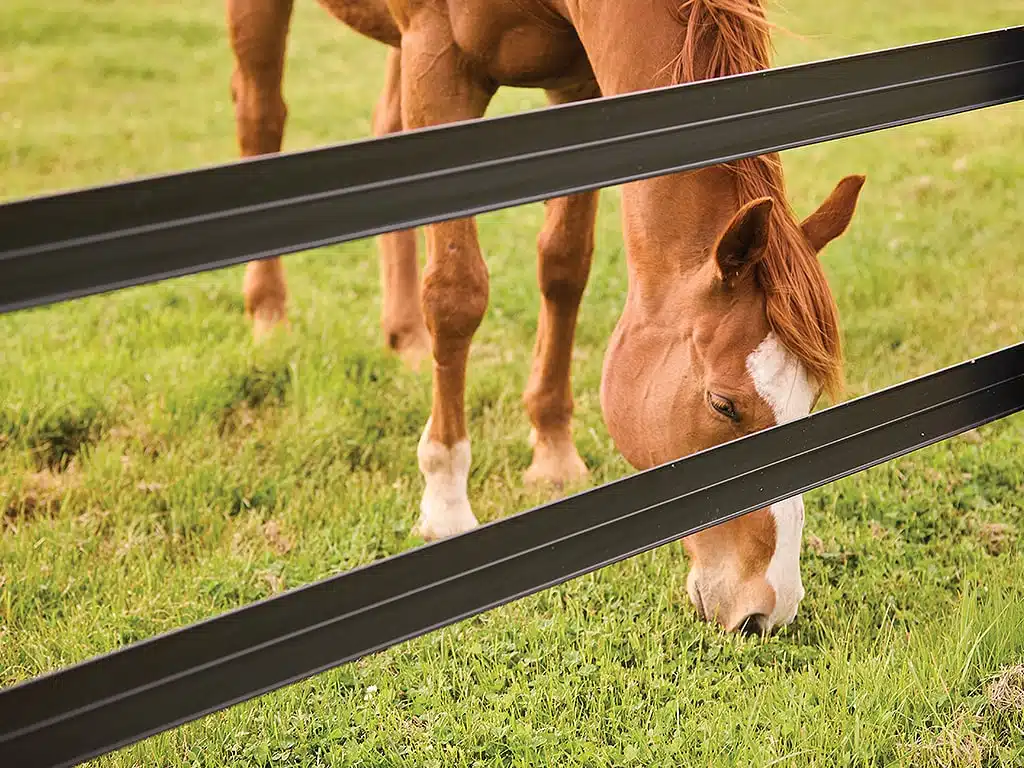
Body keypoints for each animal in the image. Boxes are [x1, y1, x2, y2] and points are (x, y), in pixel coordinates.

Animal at [226, 0, 865, 635]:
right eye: (723, 405)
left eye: (809, 400)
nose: (769, 608)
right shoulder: (439, 63)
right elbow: (456, 294)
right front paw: (445, 499)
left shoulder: (578, 86)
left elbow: (564, 264)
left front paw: (553, 450)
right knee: (262, 120)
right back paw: (268, 318)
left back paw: (404, 338)